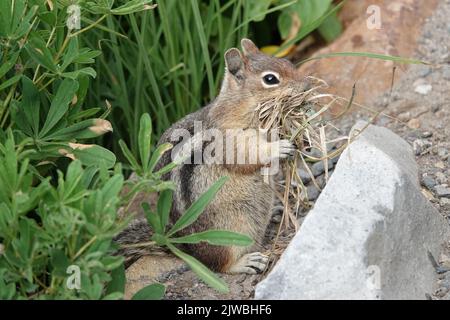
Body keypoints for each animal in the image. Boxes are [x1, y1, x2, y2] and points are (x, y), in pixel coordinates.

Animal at [118, 38, 306, 274]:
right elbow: (246, 155)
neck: (237, 105)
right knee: (220, 265)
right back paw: (246, 262)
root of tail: (187, 248)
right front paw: (280, 146)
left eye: (287, 62)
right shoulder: (230, 138)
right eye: (270, 79)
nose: (305, 85)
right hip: (232, 229)